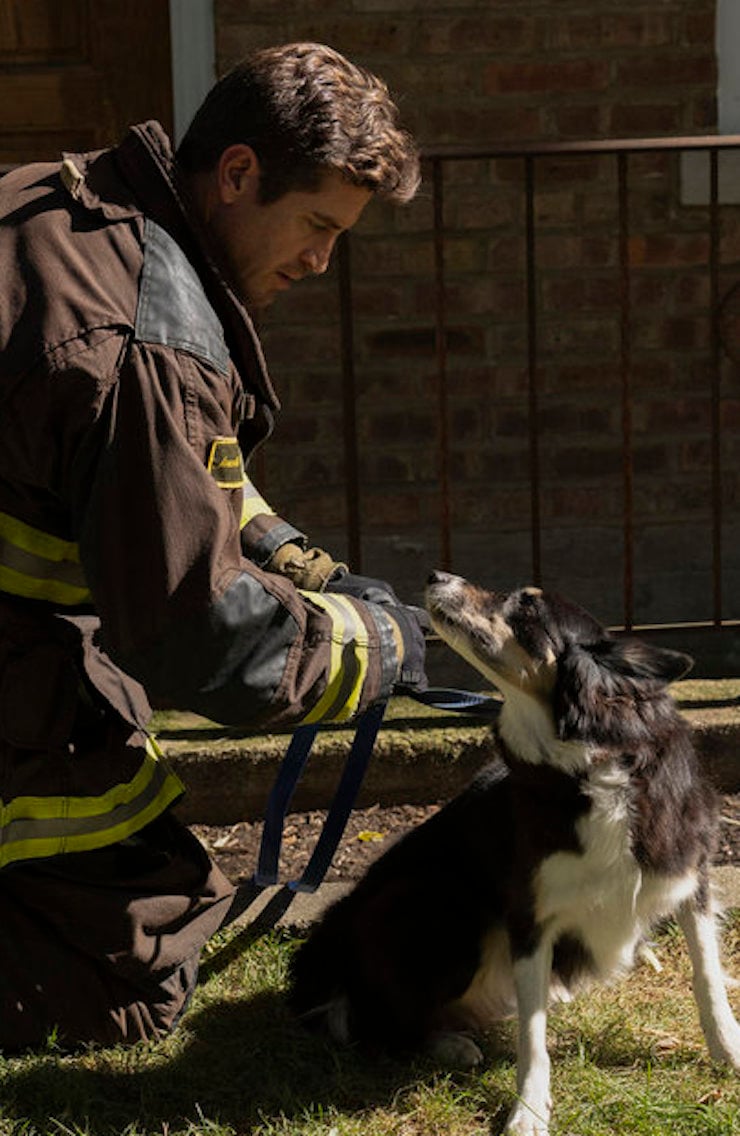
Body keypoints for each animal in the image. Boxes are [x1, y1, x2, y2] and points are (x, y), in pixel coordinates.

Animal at [289, 572, 740, 1131]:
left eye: (526, 606)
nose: (436, 576)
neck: (585, 770)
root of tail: (330, 945)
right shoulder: (528, 917)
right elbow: (533, 1031)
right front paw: (527, 1109)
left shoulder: (688, 876)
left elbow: (707, 978)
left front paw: (728, 1050)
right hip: (438, 907)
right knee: (378, 1022)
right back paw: (451, 1044)